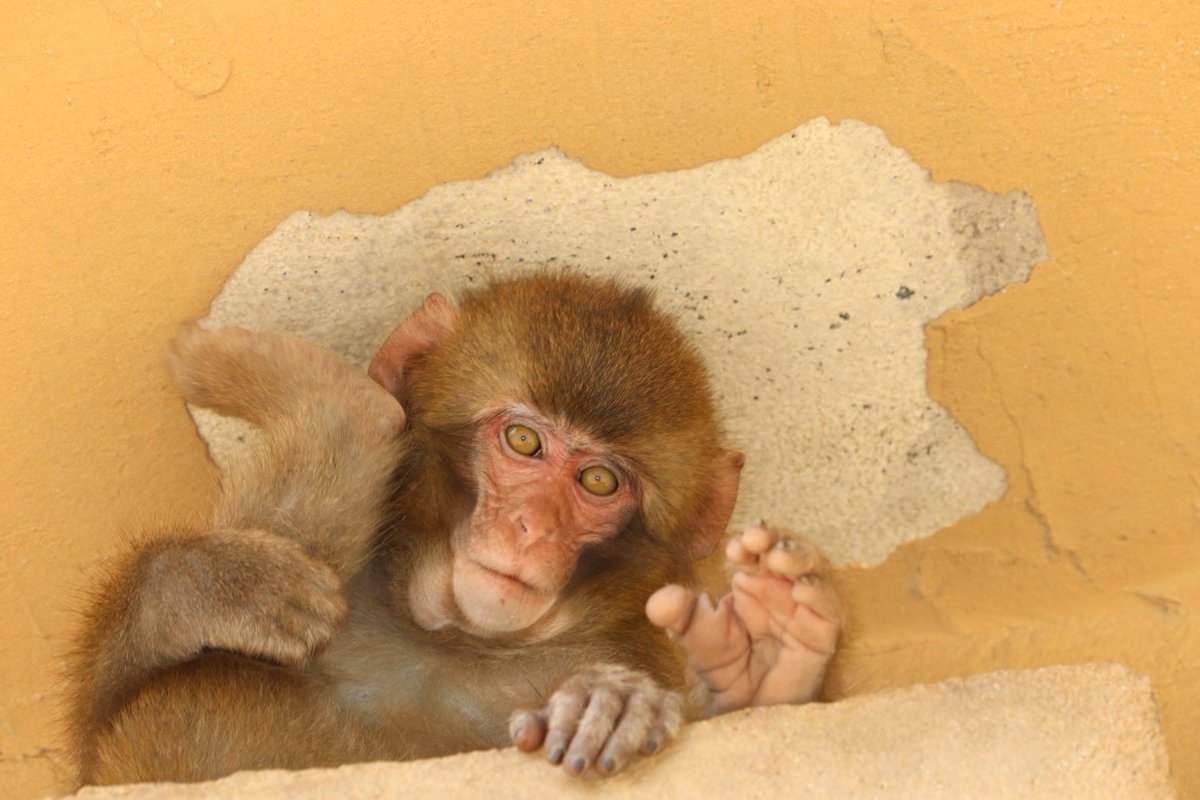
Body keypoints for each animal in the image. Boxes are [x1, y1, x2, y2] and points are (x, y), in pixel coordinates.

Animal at [67, 272, 841, 787]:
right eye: (525, 442)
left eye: (598, 482)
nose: (531, 527)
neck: (451, 642)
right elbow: (99, 734)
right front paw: (210, 583)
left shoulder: (635, 647)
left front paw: (753, 663)